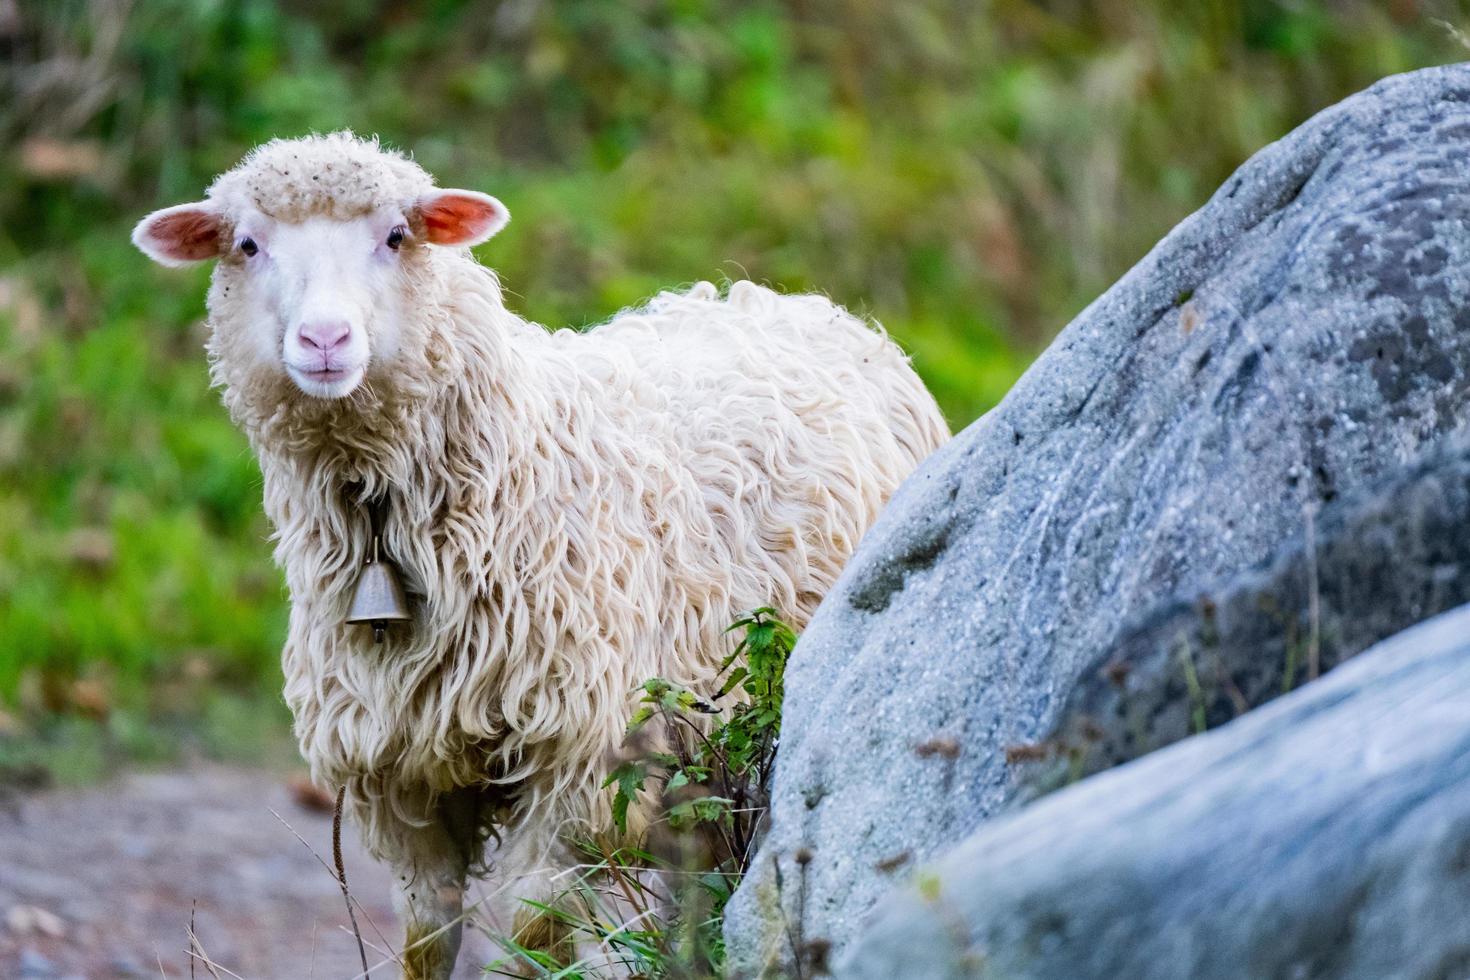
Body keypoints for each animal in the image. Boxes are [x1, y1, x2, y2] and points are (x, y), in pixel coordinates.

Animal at [132, 132, 946, 980]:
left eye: (397, 235)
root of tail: (794, 302)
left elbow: (534, 940)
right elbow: (427, 942)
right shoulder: (401, 780)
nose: (325, 341)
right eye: (247, 244)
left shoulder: (577, 760)